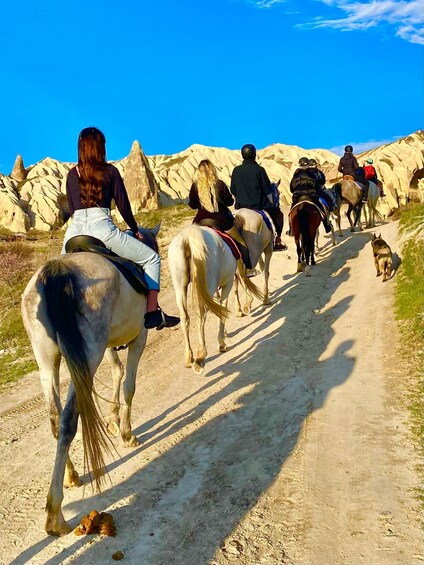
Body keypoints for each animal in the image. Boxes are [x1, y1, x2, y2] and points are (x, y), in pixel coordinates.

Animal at [20, 227, 159, 536]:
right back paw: (55, 515)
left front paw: (113, 418)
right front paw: (126, 432)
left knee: (54, 418)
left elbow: (117, 372)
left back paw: (71, 475)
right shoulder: (139, 338)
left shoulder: (108, 345)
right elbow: (130, 385)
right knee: (69, 420)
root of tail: (55, 271)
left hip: (48, 360)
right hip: (87, 355)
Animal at [168, 225, 262, 374]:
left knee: (185, 317)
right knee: (201, 314)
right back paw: (201, 357)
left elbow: (219, 308)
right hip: (208, 285)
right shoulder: (227, 283)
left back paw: (189, 357)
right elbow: (223, 307)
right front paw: (222, 342)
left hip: (180, 287)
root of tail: (188, 236)